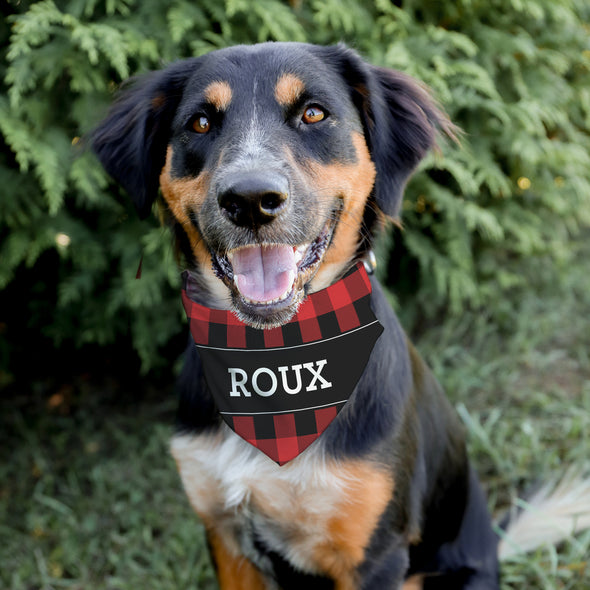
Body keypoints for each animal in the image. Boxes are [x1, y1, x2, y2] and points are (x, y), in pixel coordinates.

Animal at [92, 42, 504, 590]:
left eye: (313, 114)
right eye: (200, 123)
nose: (250, 200)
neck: (274, 358)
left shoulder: (374, 553)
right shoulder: (226, 537)